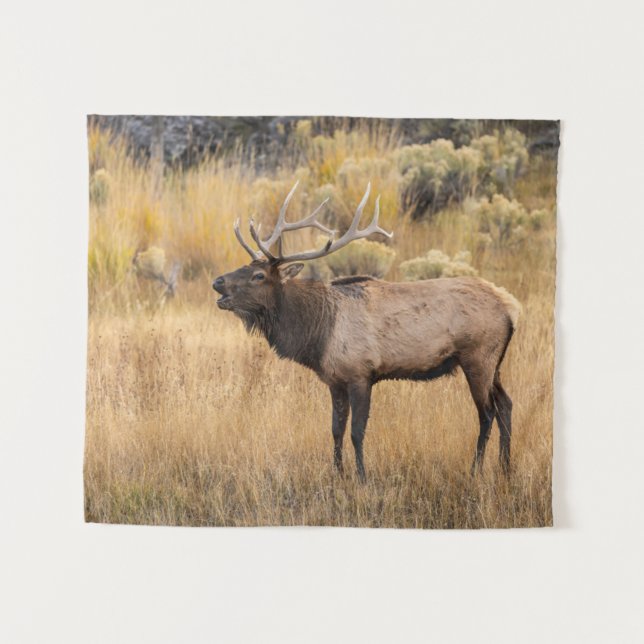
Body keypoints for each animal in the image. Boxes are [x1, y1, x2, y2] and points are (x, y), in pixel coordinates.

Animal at [212, 182, 521, 482]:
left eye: (259, 276)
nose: (217, 282)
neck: (318, 334)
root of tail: (511, 307)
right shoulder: (335, 380)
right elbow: (335, 429)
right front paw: (338, 473)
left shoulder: (361, 374)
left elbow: (356, 431)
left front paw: (362, 477)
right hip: (494, 363)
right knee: (506, 404)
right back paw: (505, 468)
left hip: (477, 357)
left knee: (487, 413)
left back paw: (476, 470)